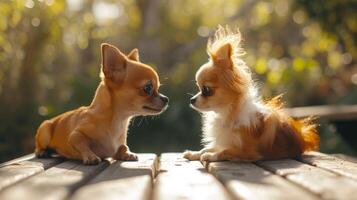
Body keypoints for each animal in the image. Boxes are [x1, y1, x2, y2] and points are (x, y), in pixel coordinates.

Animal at [184, 25, 318, 162]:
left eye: (206, 90)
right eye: (198, 88)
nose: (191, 100)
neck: (227, 114)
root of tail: (302, 137)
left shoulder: (249, 152)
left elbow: (224, 151)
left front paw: (210, 156)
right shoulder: (224, 141)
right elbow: (208, 147)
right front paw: (194, 153)